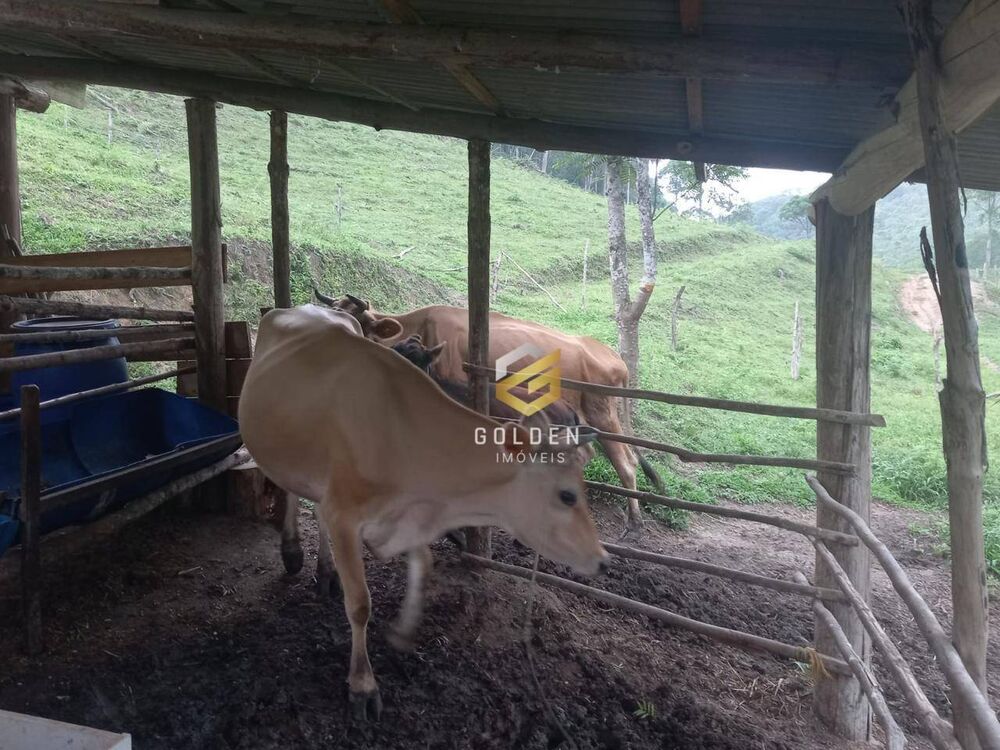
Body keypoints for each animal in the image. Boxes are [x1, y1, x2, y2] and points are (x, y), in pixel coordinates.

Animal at [239, 304, 606, 721]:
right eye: (567, 495)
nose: (602, 559)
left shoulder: (407, 512)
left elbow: (424, 565)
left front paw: (402, 631)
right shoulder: (345, 516)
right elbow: (360, 604)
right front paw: (363, 685)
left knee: (314, 508)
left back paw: (326, 571)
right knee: (288, 490)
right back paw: (293, 551)